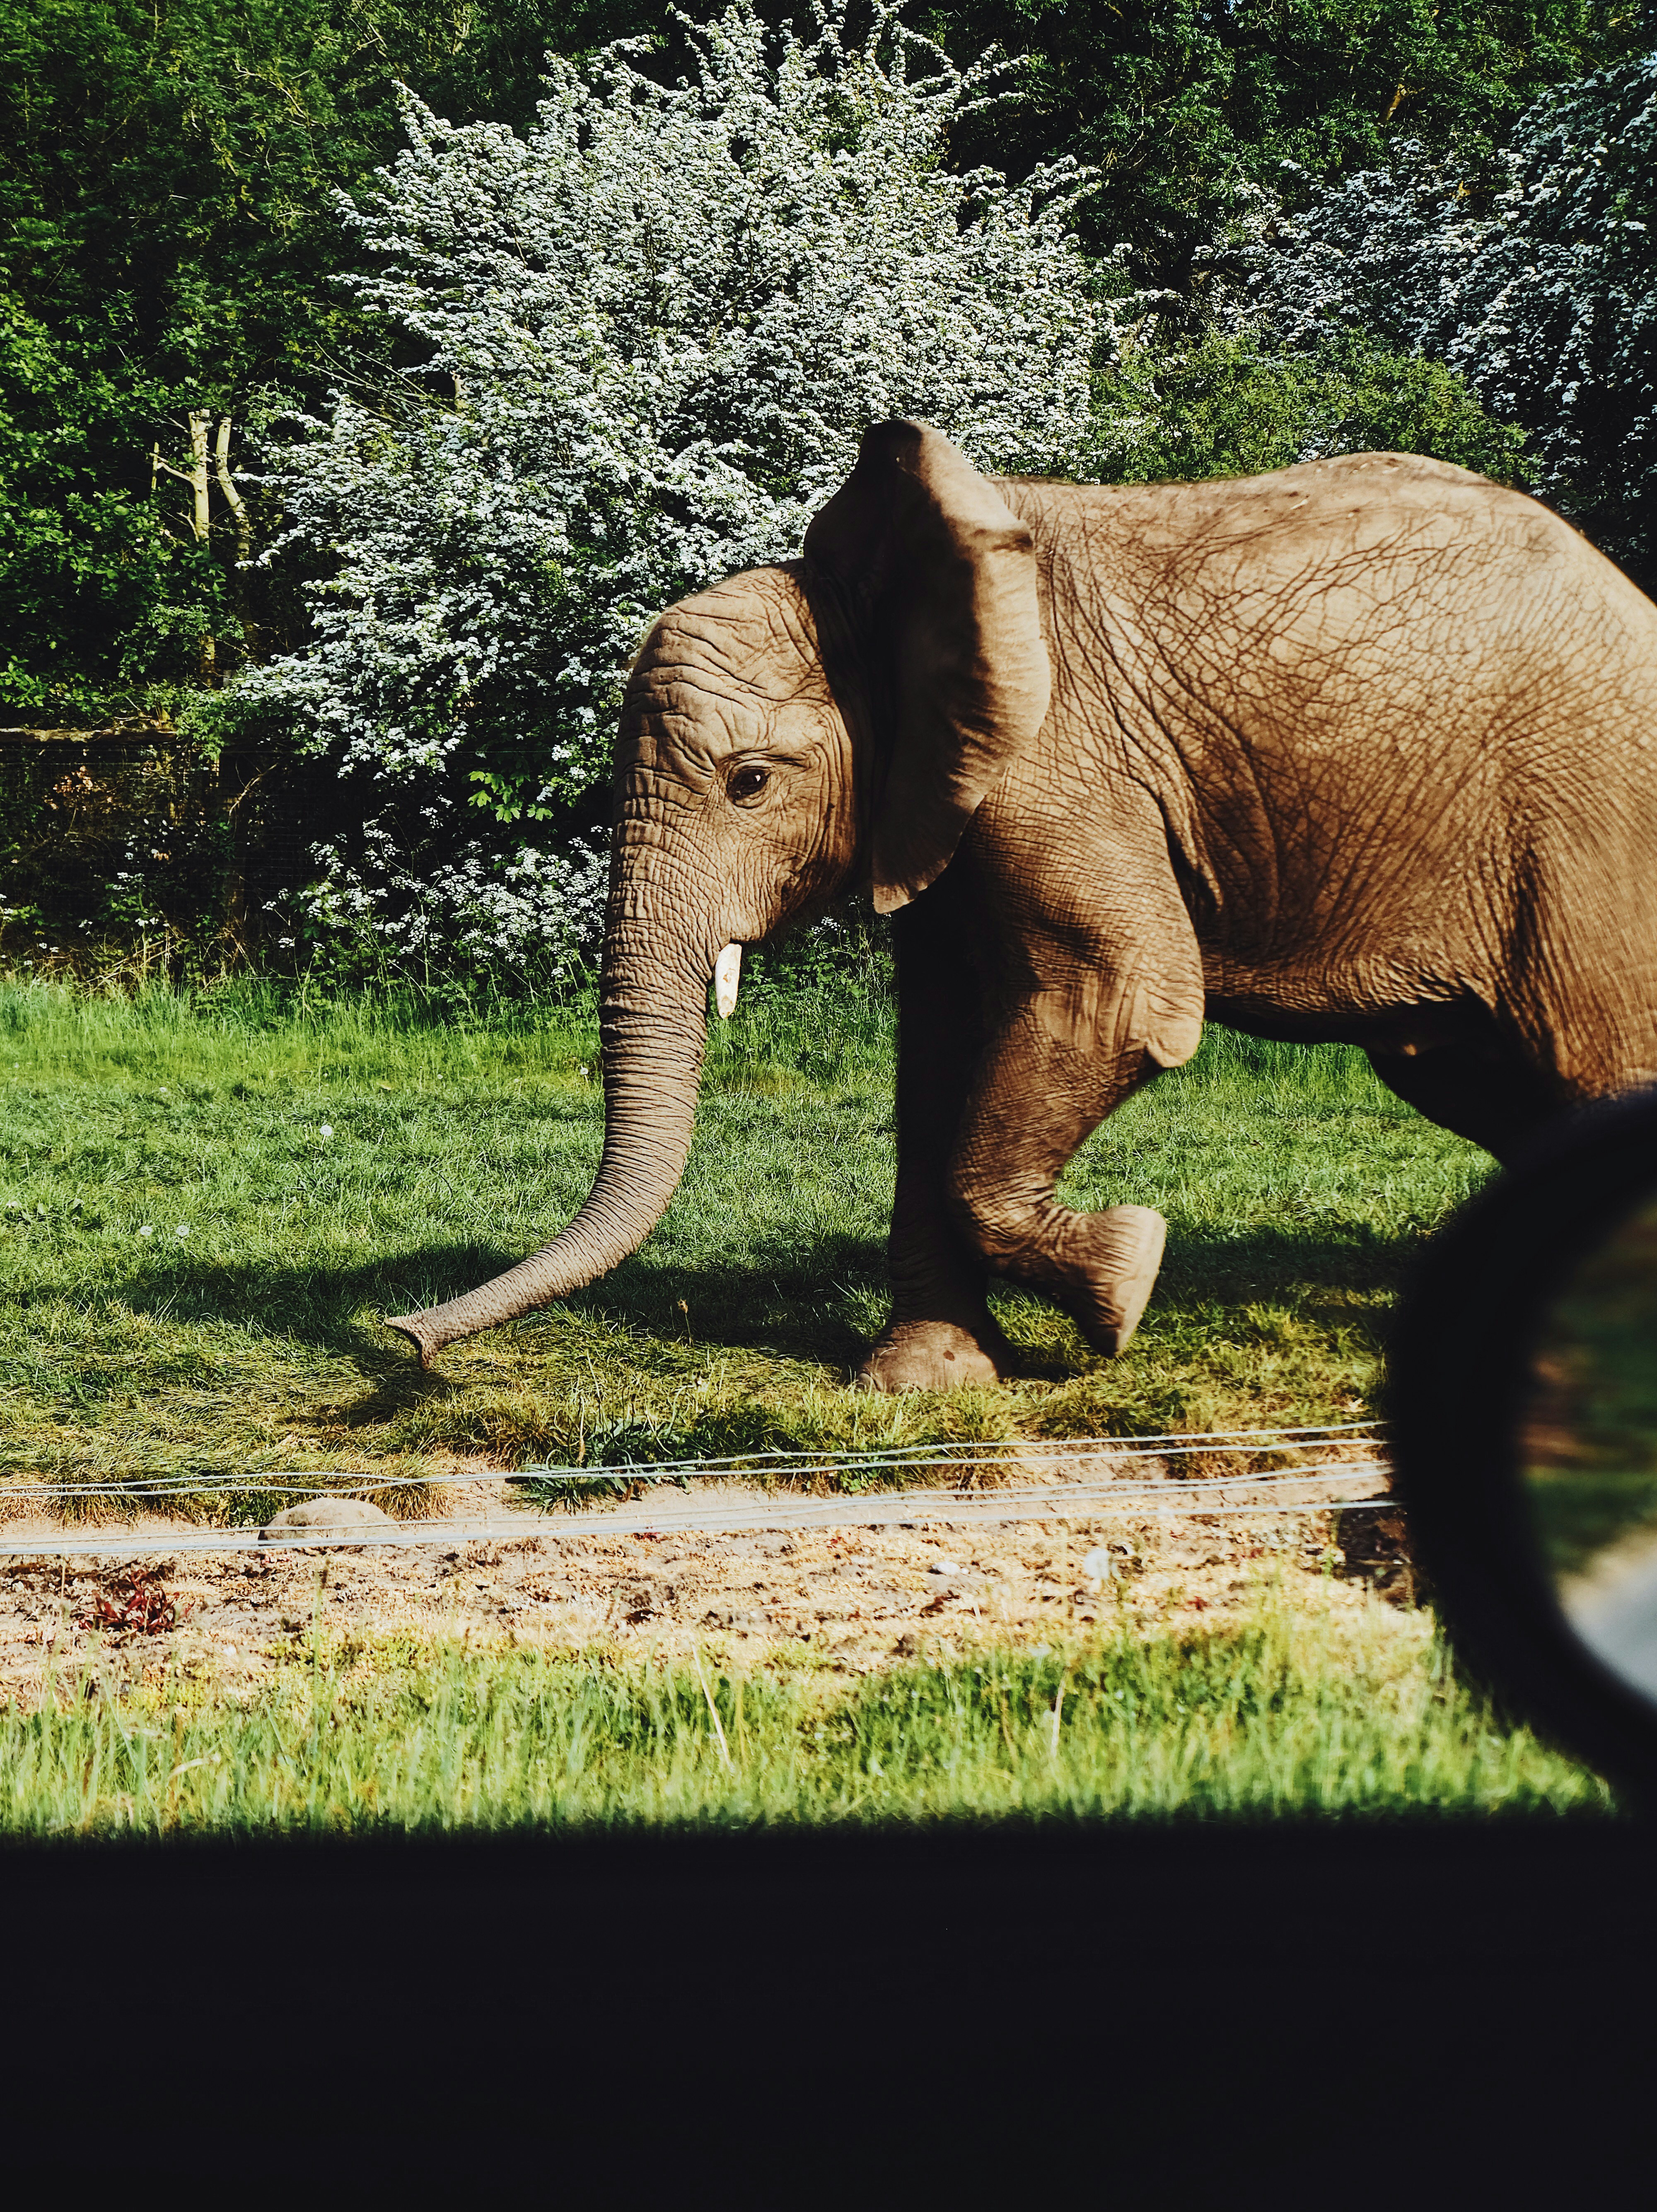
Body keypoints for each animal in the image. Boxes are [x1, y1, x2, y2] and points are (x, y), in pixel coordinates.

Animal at [388, 419, 1657, 1390]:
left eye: (749, 783)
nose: (404, 1341)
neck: (872, 600)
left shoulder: (1060, 762)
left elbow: (1126, 999)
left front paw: (1127, 1284)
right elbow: (940, 1049)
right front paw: (922, 1381)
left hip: (1591, 824)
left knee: (1591, 1059)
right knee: (1476, 1077)